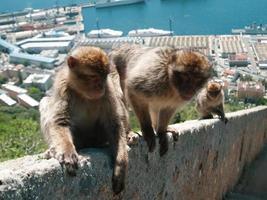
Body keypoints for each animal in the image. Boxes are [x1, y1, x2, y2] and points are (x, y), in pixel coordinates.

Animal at [39, 46, 130, 194]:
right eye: (93, 76)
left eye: (104, 76)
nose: (100, 86)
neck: (83, 93)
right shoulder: (62, 87)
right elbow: (60, 121)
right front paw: (68, 152)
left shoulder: (108, 90)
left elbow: (114, 124)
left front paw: (120, 167)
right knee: (45, 101)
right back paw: (53, 150)